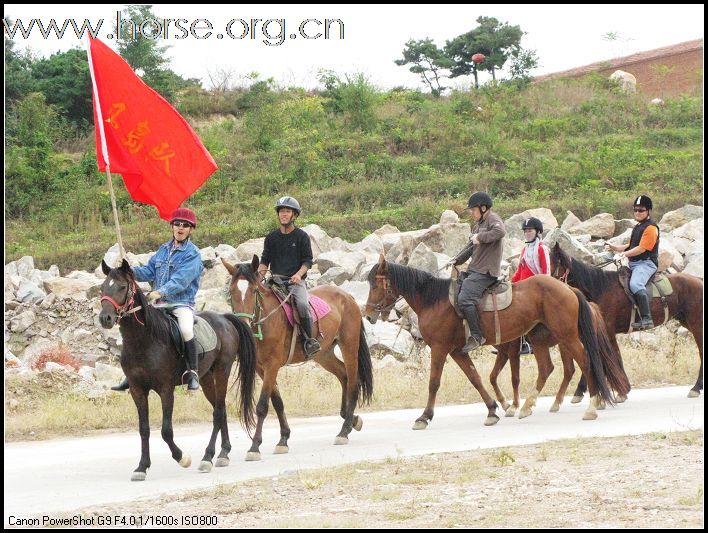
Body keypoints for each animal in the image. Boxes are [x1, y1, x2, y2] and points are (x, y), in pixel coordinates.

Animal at [98, 260, 256, 480]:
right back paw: (223, 453)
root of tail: (225, 319)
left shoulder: (166, 389)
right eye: (102, 288)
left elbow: (166, 431)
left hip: (222, 372)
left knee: (217, 413)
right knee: (221, 409)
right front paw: (142, 467)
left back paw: (207, 458)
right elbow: (144, 429)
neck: (144, 340)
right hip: (206, 379)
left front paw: (182, 458)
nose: (105, 318)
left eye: (122, 287)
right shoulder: (138, 390)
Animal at [223, 254, 376, 458]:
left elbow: (262, 406)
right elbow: (277, 402)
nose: (243, 324)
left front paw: (255, 446)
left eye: (254, 290)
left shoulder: (272, 366)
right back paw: (351, 419)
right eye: (231, 291)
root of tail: (348, 297)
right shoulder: (261, 369)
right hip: (324, 354)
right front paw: (283, 439)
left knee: (352, 381)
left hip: (349, 346)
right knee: (343, 375)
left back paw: (344, 431)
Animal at [368, 256, 628, 426]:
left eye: (375, 283)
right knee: (548, 368)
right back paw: (529, 406)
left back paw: (592, 405)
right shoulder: (458, 351)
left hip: (567, 337)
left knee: (585, 362)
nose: (369, 314)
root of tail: (569, 289)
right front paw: (494, 409)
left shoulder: (441, 349)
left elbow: (434, 382)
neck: (434, 301)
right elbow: (477, 378)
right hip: (543, 339)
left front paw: (424, 416)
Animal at [548, 243, 704, 396]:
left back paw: (696, 387)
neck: (600, 288)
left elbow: (604, 357)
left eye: (551, 262)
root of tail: (699, 280)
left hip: (697, 324)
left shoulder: (607, 332)